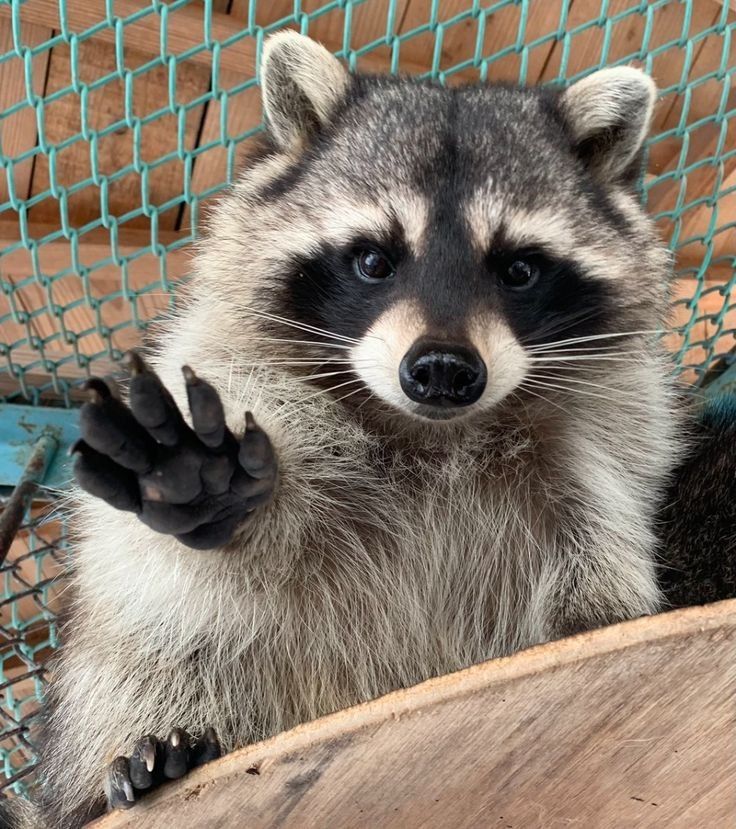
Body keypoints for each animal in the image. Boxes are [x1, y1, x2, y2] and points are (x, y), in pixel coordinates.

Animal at [22, 32, 685, 827]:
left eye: (519, 269)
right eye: (374, 259)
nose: (441, 370)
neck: (434, 433)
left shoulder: (600, 449)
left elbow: (597, 561)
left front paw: (603, 628)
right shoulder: (235, 373)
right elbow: (192, 560)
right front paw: (215, 489)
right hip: (119, 686)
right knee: (151, 652)